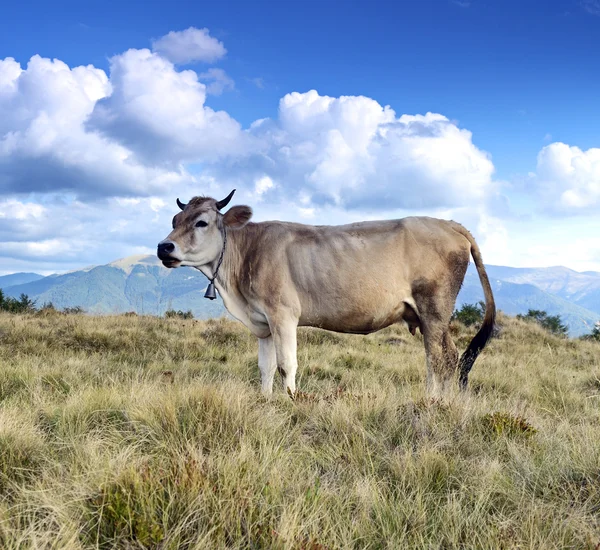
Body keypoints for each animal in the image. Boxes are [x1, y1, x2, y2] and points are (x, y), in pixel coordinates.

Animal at [157, 192, 494, 398]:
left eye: (201, 222)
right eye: (174, 221)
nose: (163, 247)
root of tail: (449, 224)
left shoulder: (283, 314)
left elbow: (287, 364)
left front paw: (291, 400)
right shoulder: (263, 322)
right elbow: (265, 367)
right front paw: (265, 399)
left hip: (434, 308)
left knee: (436, 359)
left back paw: (431, 401)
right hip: (433, 317)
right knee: (451, 356)